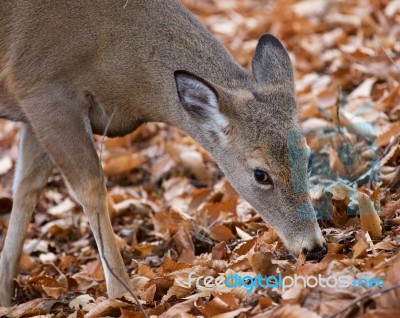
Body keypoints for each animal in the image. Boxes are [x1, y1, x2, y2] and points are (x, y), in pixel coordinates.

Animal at [0, 0, 326, 306]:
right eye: (260, 174)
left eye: (307, 157)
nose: (314, 248)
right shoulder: (42, 90)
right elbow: (90, 187)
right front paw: (121, 294)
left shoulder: (31, 111)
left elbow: (26, 187)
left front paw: (4, 294)